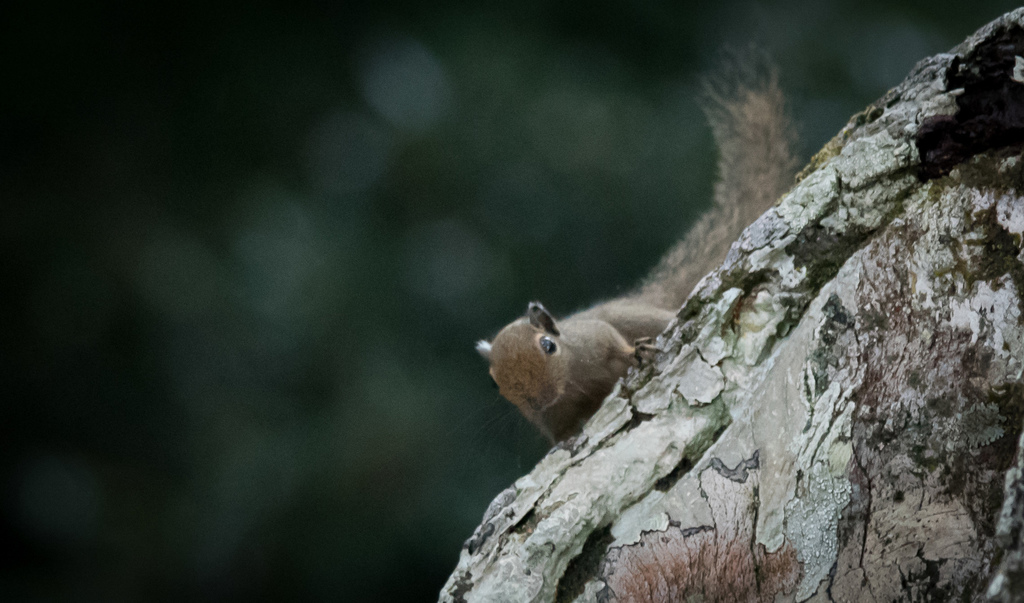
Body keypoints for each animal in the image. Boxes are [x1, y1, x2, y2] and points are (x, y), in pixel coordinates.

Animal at [476, 59, 799, 443]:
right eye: (494, 383)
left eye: (548, 345)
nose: (541, 399)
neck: (573, 384)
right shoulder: (553, 421)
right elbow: (560, 436)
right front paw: (565, 443)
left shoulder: (596, 335)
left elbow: (618, 345)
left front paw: (638, 352)